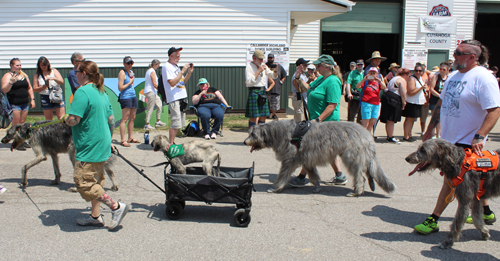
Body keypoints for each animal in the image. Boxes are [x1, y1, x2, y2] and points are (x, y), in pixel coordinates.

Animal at [242, 119, 394, 195]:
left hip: (352, 156)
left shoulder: (289, 159)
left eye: (253, 134)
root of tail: (366, 135)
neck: (276, 132)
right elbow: (313, 174)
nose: (244, 142)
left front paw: (276, 187)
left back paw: (357, 191)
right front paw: (317, 187)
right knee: (367, 172)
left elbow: (283, 174)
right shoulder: (307, 158)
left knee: (360, 175)